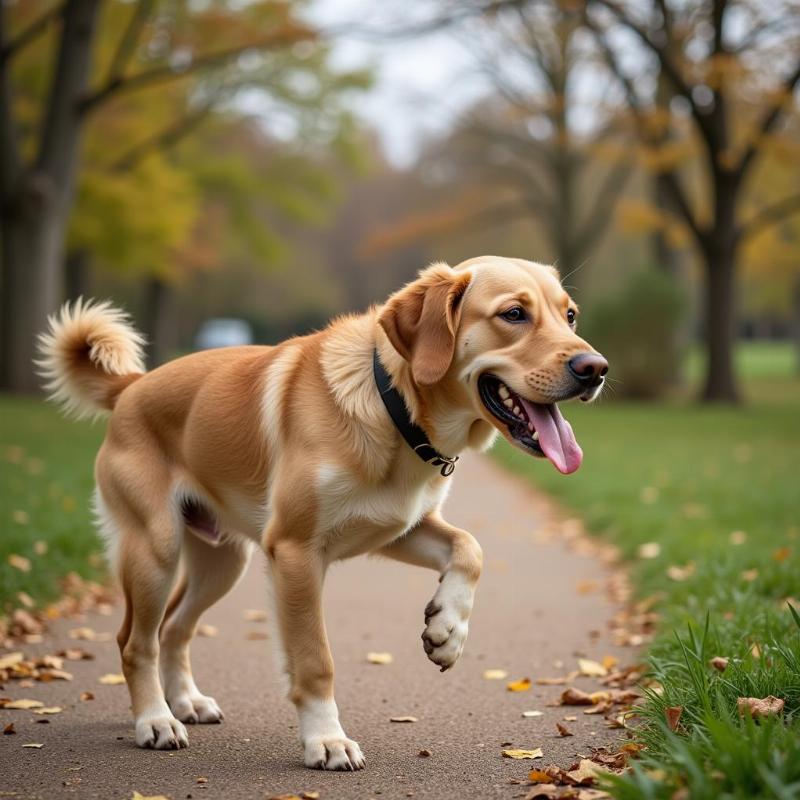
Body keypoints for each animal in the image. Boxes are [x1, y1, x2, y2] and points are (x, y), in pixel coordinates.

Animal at [39, 256, 608, 768]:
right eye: (514, 314)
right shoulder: (296, 553)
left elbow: (471, 548)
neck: (391, 405)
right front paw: (326, 741)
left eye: (571, 315)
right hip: (155, 550)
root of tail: (132, 386)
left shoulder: (398, 529)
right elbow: (315, 663)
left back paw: (186, 702)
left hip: (222, 563)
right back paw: (155, 720)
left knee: (173, 629)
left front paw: (448, 630)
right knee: (135, 641)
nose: (596, 369)